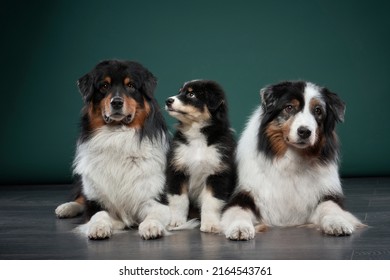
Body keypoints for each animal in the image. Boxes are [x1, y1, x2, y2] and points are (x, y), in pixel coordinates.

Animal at [54, 59, 171, 238]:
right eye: (104, 86)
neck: (117, 135)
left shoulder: (155, 197)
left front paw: (151, 226)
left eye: (131, 85)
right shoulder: (97, 199)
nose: (116, 102)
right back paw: (66, 207)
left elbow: (155, 212)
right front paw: (98, 226)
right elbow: (97, 213)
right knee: (82, 197)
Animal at [164, 80, 236, 233]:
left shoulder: (217, 173)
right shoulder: (177, 170)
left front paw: (210, 225)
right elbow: (179, 200)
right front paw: (176, 222)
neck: (197, 137)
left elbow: (211, 201)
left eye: (191, 94)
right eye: (180, 91)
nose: (168, 100)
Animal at [221, 80, 364, 240]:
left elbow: (330, 207)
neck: (292, 159)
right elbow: (237, 211)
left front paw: (338, 223)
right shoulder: (243, 195)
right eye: (289, 107)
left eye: (318, 111)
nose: (305, 131)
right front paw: (240, 227)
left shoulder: (327, 194)